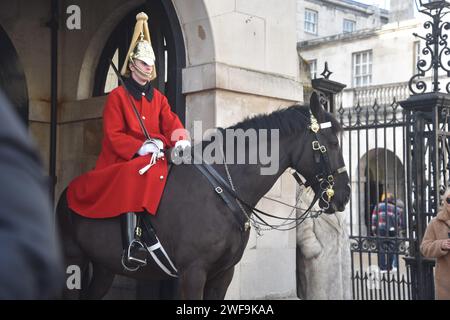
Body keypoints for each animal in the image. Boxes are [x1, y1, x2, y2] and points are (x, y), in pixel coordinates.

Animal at [57, 92, 352, 300]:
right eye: (332, 143)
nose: (345, 195)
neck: (222, 189)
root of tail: (67, 191)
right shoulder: (193, 273)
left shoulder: (223, 274)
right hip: (74, 260)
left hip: (105, 266)